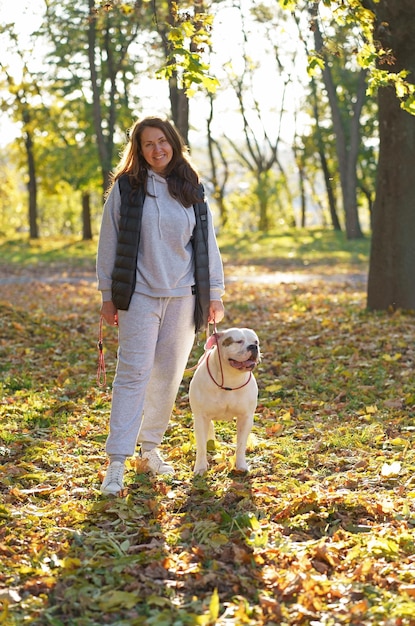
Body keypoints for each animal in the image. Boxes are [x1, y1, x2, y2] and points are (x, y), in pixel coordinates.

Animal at [188, 326, 260, 472]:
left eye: (256, 341)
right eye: (238, 341)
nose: (253, 347)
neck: (230, 378)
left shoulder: (245, 418)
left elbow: (241, 444)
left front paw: (241, 465)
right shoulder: (201, 418)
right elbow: (201, 446)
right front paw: (200, 467)